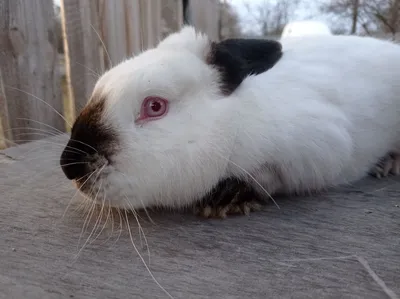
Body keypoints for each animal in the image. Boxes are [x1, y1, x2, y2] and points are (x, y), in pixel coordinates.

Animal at [59, 25, 400, 219]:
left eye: (154, 106)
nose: (69, 165)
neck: (232, 121)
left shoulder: (319, 148)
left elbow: (271, 176)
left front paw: (227, 198)